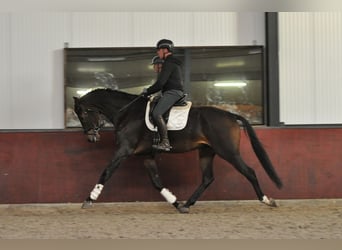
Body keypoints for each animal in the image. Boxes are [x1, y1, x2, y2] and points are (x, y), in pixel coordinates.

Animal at [74, 88, 284, 213]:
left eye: (83, 113)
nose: (91, 137)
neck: (127, 113)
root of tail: (231, 115)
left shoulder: (124, 150)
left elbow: (106, 172)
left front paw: (89, 199)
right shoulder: (147, 156)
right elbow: (157, 182)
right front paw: (175, 202)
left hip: (228, 152)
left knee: (249, 172)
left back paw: (267, 200)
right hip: (206, 152)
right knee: (207, 178)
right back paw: (187, 204)